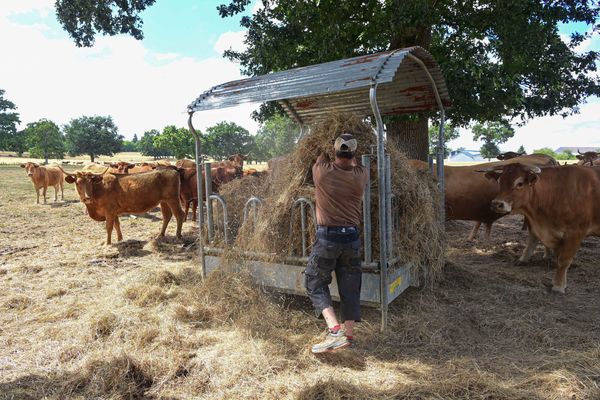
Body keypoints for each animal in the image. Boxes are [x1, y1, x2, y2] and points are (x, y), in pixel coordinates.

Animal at [482, 163, 600, 294]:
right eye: (499, 181)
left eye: (520, 183)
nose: (496, 204)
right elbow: (557, 258)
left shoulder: (575, 232)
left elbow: (563, 261)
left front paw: (558, 286)